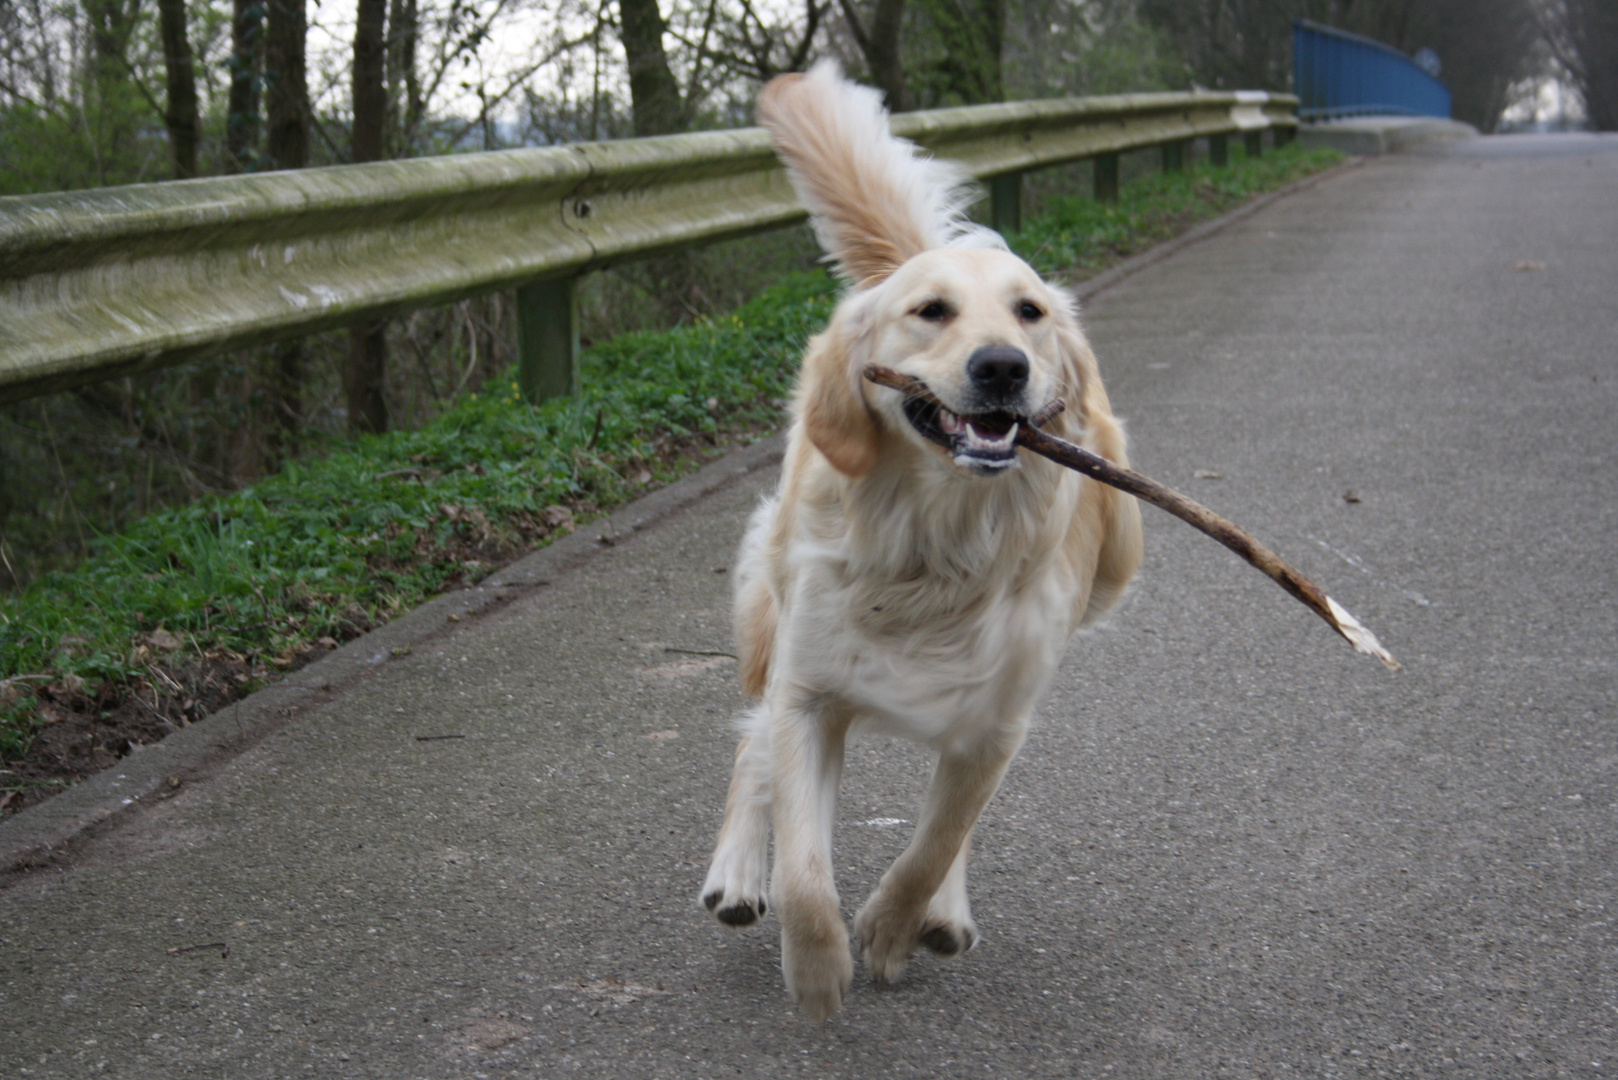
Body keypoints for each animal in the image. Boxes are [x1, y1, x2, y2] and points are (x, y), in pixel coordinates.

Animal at [695, 63, 1139, 1016]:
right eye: (930, 312)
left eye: (1029, 312)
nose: (1002, 366)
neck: (938, 542)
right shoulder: (809, 691)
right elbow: (804, 872)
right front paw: (818, 972)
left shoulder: (996, 724)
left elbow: (933, 843)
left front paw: (894, 930)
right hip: (770, 608)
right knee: (751, 742)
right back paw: (737, 873)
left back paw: (942, 911)